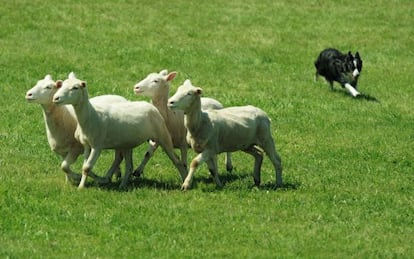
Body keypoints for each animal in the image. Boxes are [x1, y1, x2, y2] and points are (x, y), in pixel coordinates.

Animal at [52, 72, 187, 189]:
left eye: (75, 88)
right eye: (62, 85)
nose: (56, 98)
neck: (91, 116)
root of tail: (152, 106)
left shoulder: (97, 145)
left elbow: (87, 167)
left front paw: (81, 186)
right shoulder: (87, 145)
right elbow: (85, 166)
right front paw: (86, 181)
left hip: (163, 135)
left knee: (177, 161)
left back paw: (185, 181)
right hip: (126, 144)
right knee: (129, 166)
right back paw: (122, 184)